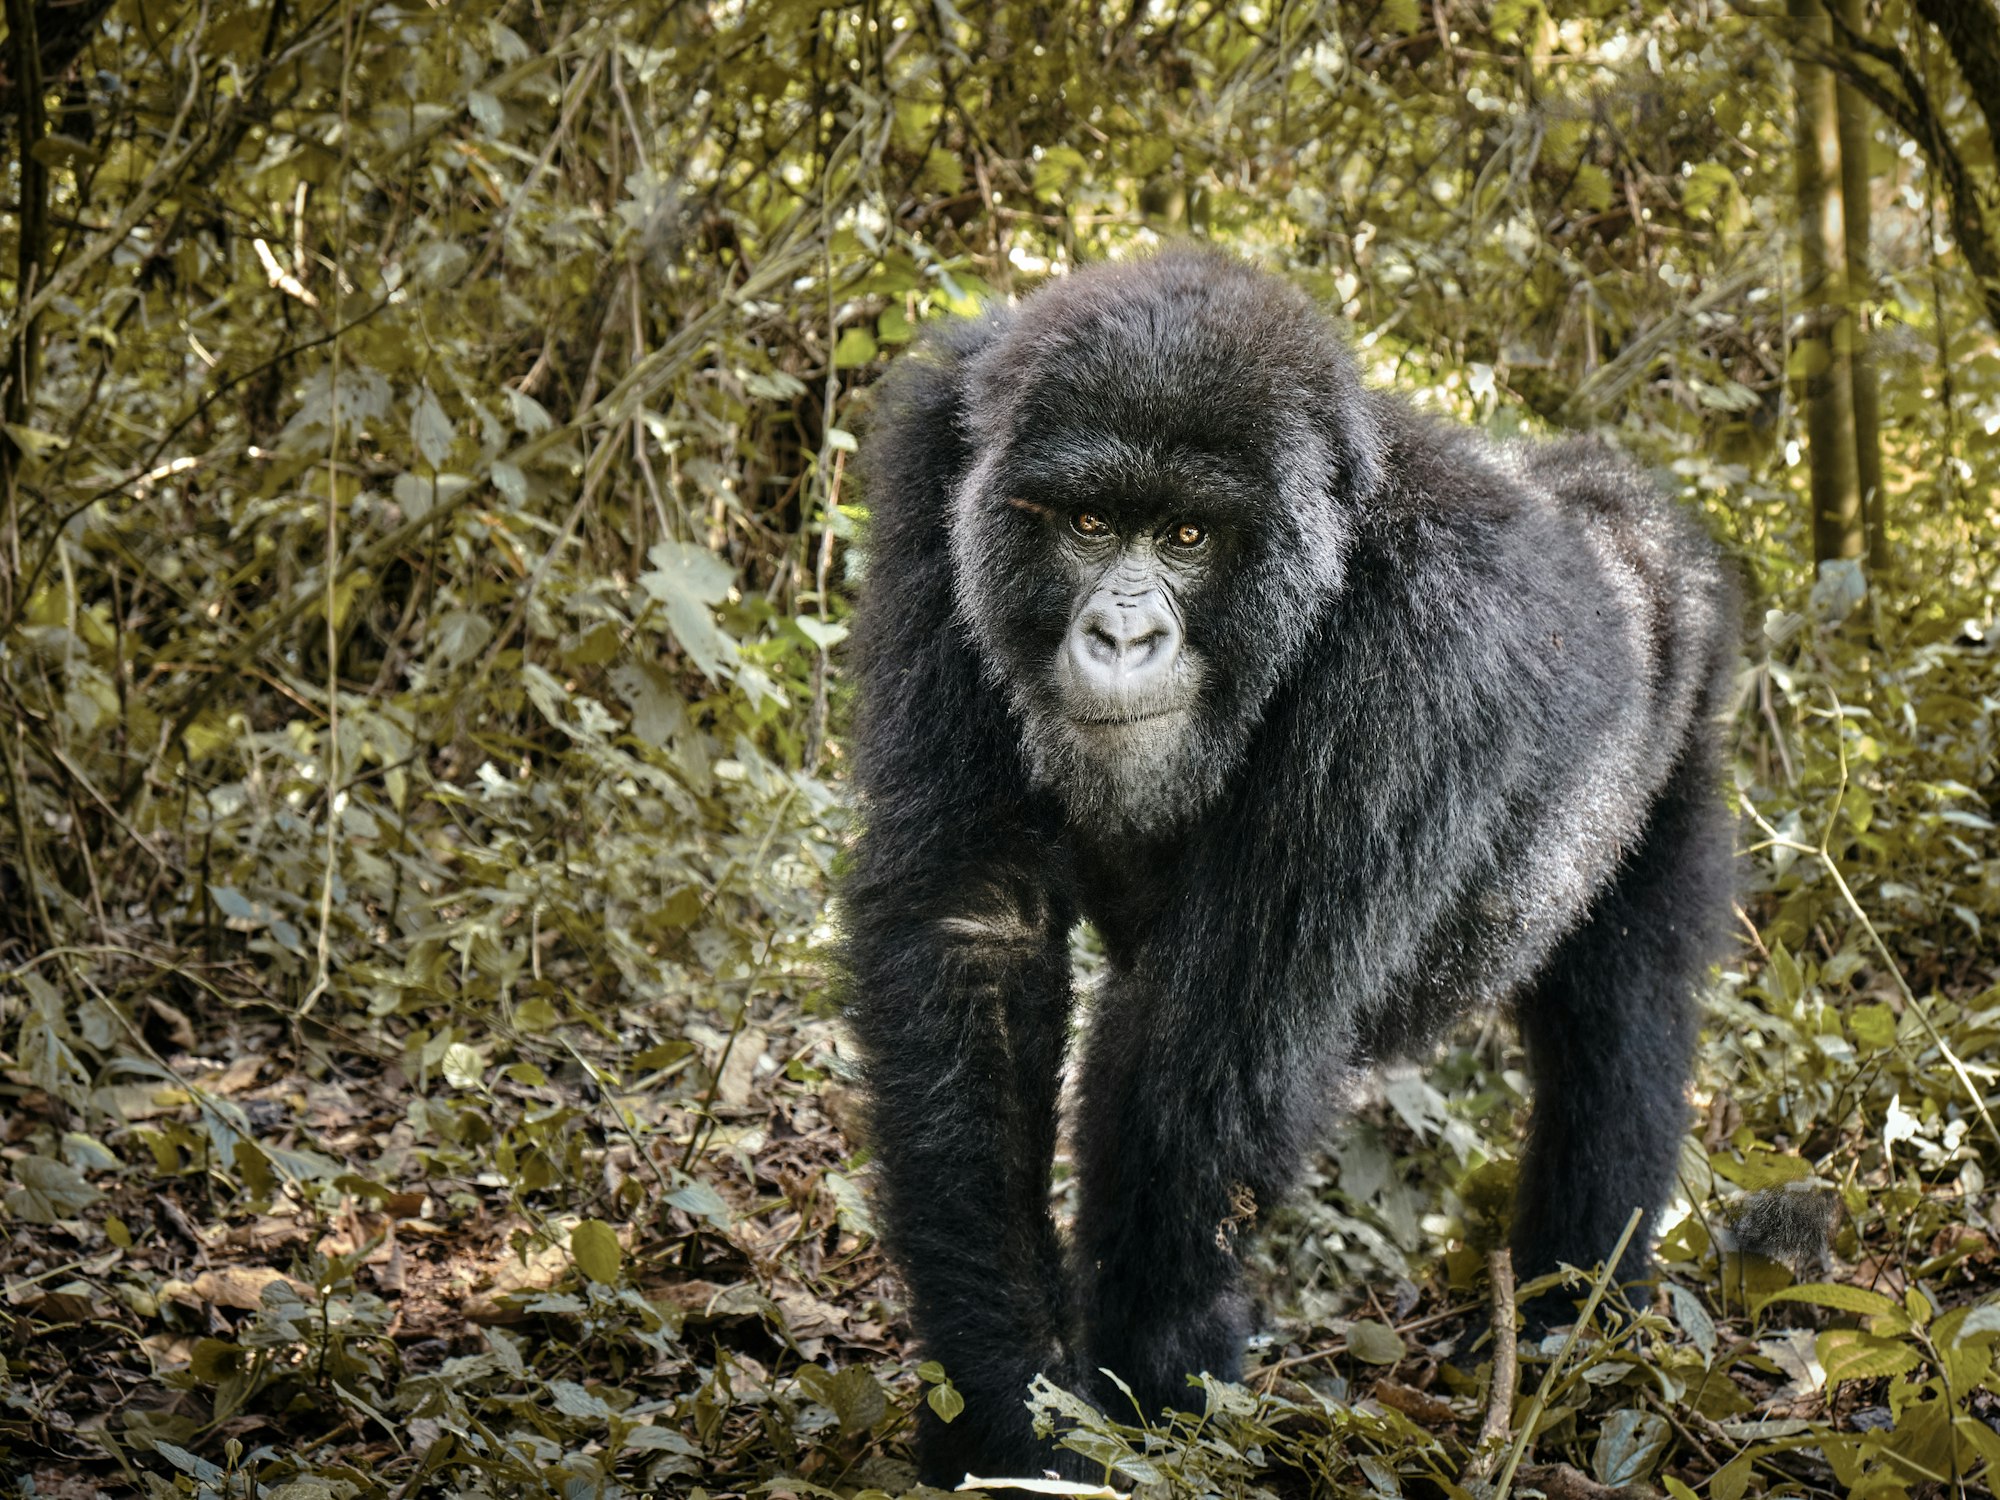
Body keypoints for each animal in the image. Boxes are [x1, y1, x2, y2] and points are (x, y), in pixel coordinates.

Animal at [844, 253, 1736, 1488]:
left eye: (1187, 536)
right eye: (1088, 521)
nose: (1122, 638)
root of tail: (1637, 516)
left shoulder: (1432, 642)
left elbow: (1217, 1043)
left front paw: (1155, 1395)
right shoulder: (938, 465)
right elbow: (972, 920)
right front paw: (1001, 1403)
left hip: (1687, 698)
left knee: (1623, 1022)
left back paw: (1575, 1327)